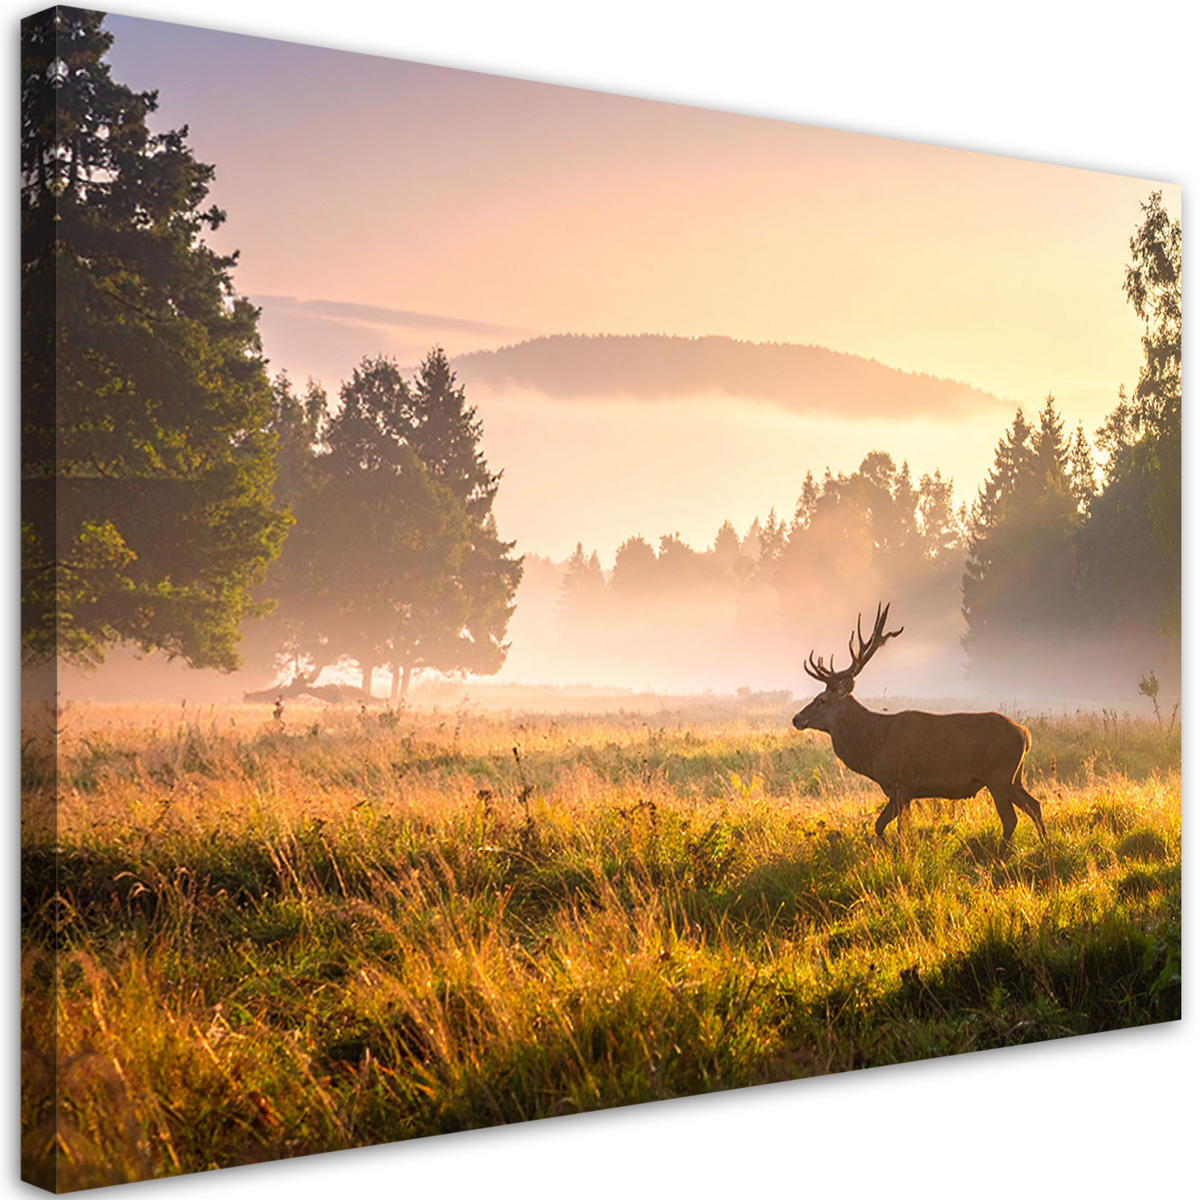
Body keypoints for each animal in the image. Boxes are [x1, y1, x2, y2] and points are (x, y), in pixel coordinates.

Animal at [792, 603, 1046, 845]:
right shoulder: (896, 790)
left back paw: (1004, 854)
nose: (797, 718)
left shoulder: (904, 783)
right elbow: (879, 825)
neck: (875, 746)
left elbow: (901, 829)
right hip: (1015, 777)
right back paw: (1045, 844)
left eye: (821, 700)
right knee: (1035, 805)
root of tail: (1026, 735)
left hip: (999, 776)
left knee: (1011, 819)